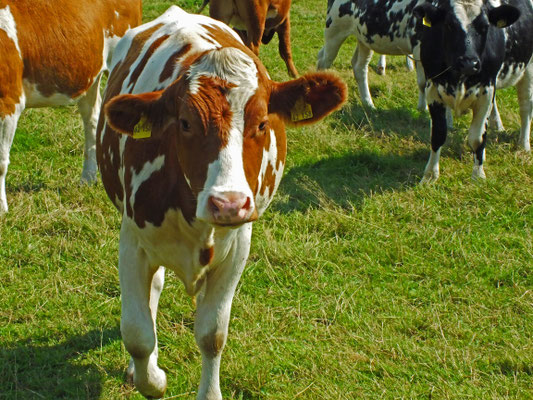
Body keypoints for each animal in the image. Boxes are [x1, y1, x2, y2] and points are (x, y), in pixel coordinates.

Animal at [0, 0, 141, 212]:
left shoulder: (9, 99)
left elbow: (1, 161)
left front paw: (1, 208)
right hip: (90, 73)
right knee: (92, 117)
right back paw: (88, 178)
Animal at [95, 6, 344, 400]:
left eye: (262, 123)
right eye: (184, 123)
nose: (228, 204)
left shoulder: (237, 245)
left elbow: (212, 335)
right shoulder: (132, 240)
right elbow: (137, 333)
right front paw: (151, 378)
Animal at [416, 0, 532, 181]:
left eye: (485, 26)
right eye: (449, 24)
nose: (469, 63)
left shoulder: (486, 91)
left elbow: (477, 138)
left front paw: (478, 175)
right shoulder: (433, 89)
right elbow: (438, 135)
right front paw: (430, 176)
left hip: (529, 68)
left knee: (526, 108)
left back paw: (524, 145)